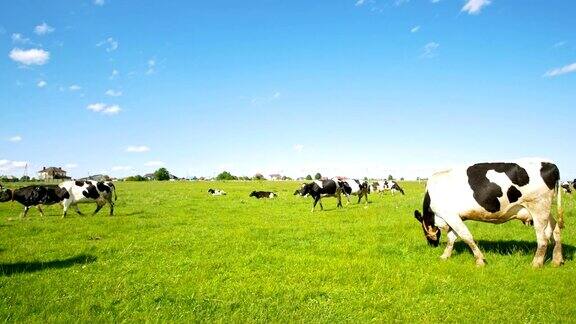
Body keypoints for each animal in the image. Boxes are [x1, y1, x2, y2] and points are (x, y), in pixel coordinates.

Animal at [412, 158, 564, 268]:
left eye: (423, 231)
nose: (432, 245)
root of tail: (550, 164)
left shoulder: (450, 215)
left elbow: (466, 237)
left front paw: (480, 260)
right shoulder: (454, 217)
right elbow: (452, 238)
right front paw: (445, 256)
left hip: (539, 207)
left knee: (543, 238)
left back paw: (536, 263)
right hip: (545, 210)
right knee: (555, 229)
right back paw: (557, 260)